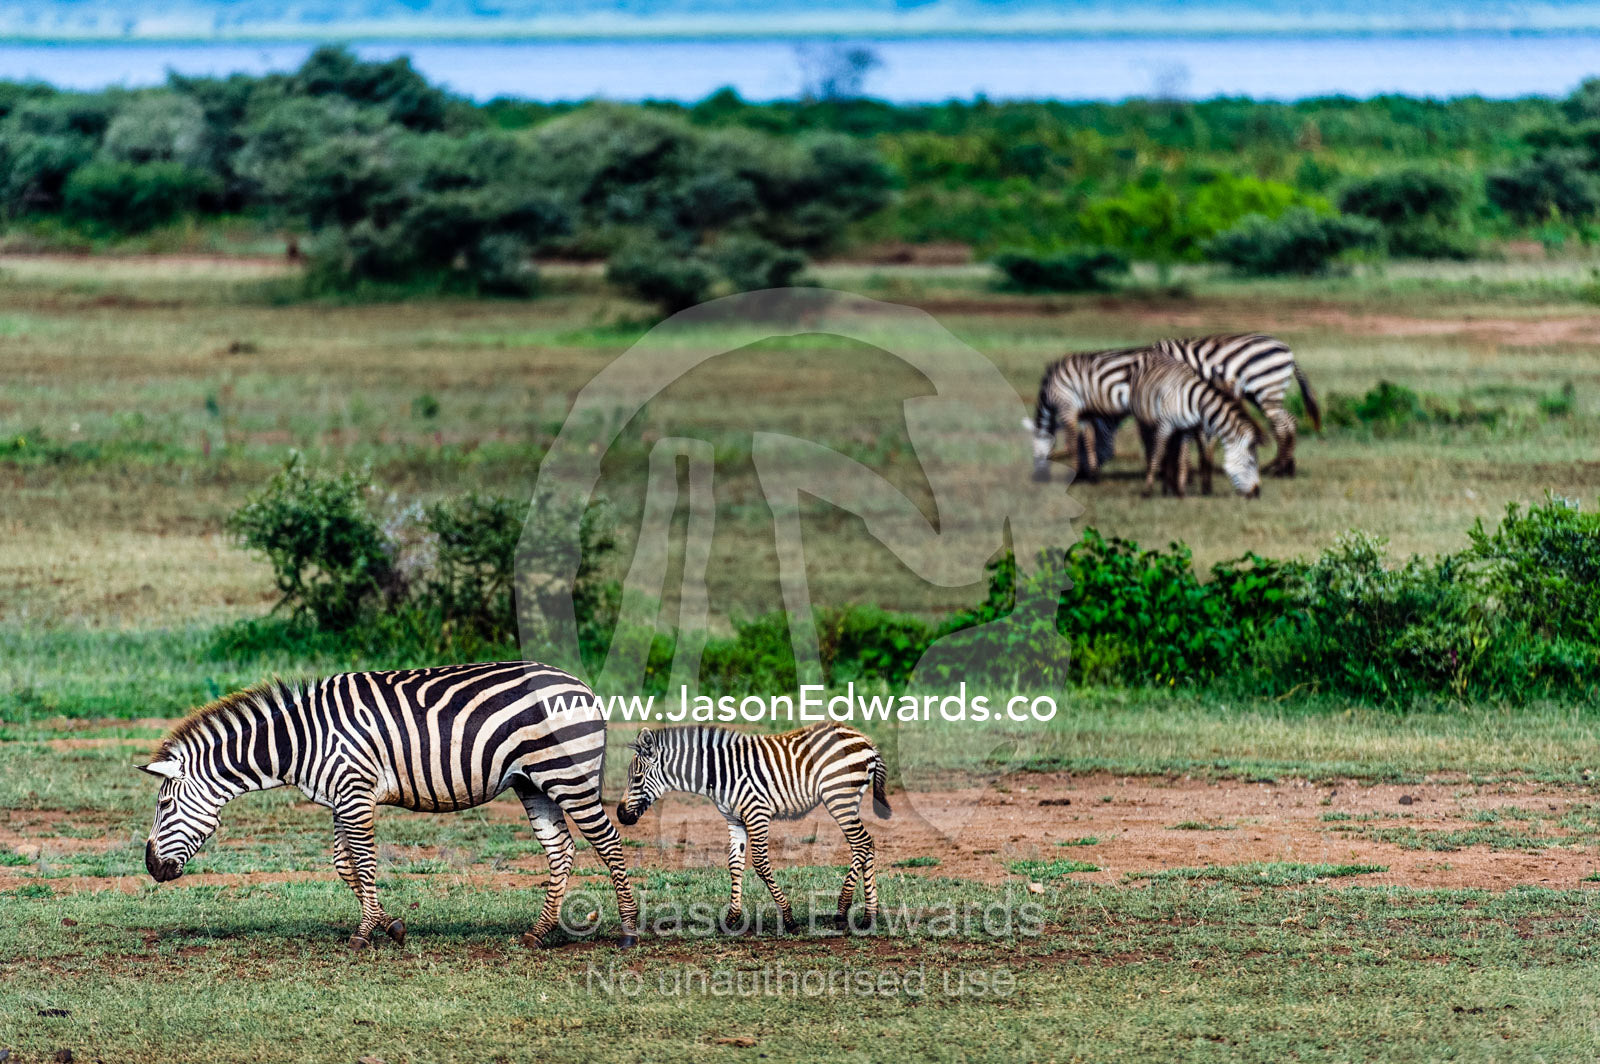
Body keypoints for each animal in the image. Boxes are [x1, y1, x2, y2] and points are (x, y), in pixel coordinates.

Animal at [141, 661, 640, 950]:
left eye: (164, 804)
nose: (150, 867)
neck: (301, 741)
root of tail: (582, 686)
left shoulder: (354, 789)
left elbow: (363, 863)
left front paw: (364, 935)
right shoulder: (341, 796)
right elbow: (344, 865)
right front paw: (391, 926)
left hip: (566, 774)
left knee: (609, 842)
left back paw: (629, 930)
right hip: (532, 781)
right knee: (561, 851)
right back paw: (539, 933)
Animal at [615, 722, 890, 933]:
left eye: (636, 778)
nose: (619, 814)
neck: (719, 775)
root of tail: (865, 740)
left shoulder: (758, 814)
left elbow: (759, 863)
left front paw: (789, 919)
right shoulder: (734, 819)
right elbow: (734, 863)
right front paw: (731, 918)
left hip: (839, 796)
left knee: (861, 844)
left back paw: (843, 911)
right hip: (846, 799)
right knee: (867, 844)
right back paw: (868, 916)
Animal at [1023, 346, 1148, 483]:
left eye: (1034, 452)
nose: (1038, 478)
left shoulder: (1067, 408)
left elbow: (1073, 445)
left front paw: (1073, 475)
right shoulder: (1084, 413)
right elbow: (1089, 439)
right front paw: (1093, 474)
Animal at [1130, 355, 1263, 498]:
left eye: (1237, 400)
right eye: (1251, 462)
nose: (1257, 492)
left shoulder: (1204, 433)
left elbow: (1204, 457)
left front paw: (1203, 488)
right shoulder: (1193, 430)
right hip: (1149, 423)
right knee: (1155, 449)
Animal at [1151, 333, 1320, 477]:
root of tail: (1285, 348)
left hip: (1267, 388)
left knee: (1281, 426)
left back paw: (1279, 469)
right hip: (1259, 394)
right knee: (1289, 420)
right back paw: (1287, 467)